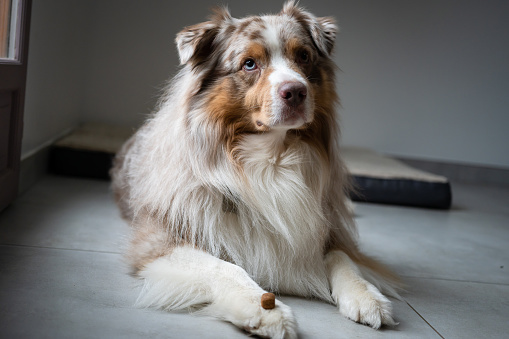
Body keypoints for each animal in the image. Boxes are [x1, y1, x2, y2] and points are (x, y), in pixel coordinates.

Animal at [112, 1, 400, 338]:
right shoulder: (159, 240)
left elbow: (343, 258)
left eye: (303, 56)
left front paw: (366, 295)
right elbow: (223, 266)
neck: (271, 163)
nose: (296, 91)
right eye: (249, 64)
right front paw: (263, 309)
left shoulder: (325, 228)